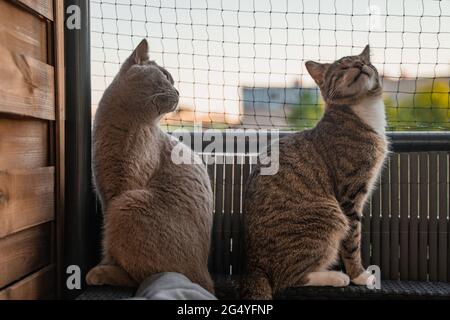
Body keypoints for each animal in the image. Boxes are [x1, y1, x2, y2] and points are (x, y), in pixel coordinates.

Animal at [87, 39, 216, 292]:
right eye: (165, 76)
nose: (178, 91)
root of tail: (206, 276)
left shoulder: (120, 190)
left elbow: (108, 243)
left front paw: (105, 263)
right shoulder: (105, 192)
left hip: (127, 204)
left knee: (142, 277)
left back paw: (100, 273)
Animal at [243, 45, 386, 300]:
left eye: (364, 62)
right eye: (344, 66)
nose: (360, 65)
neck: (361, 110)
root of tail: (254, 265)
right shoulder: (350, 196)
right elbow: (353, 241)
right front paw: (359, 275)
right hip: (331, 216)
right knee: (289, 279)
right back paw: (336, 277)